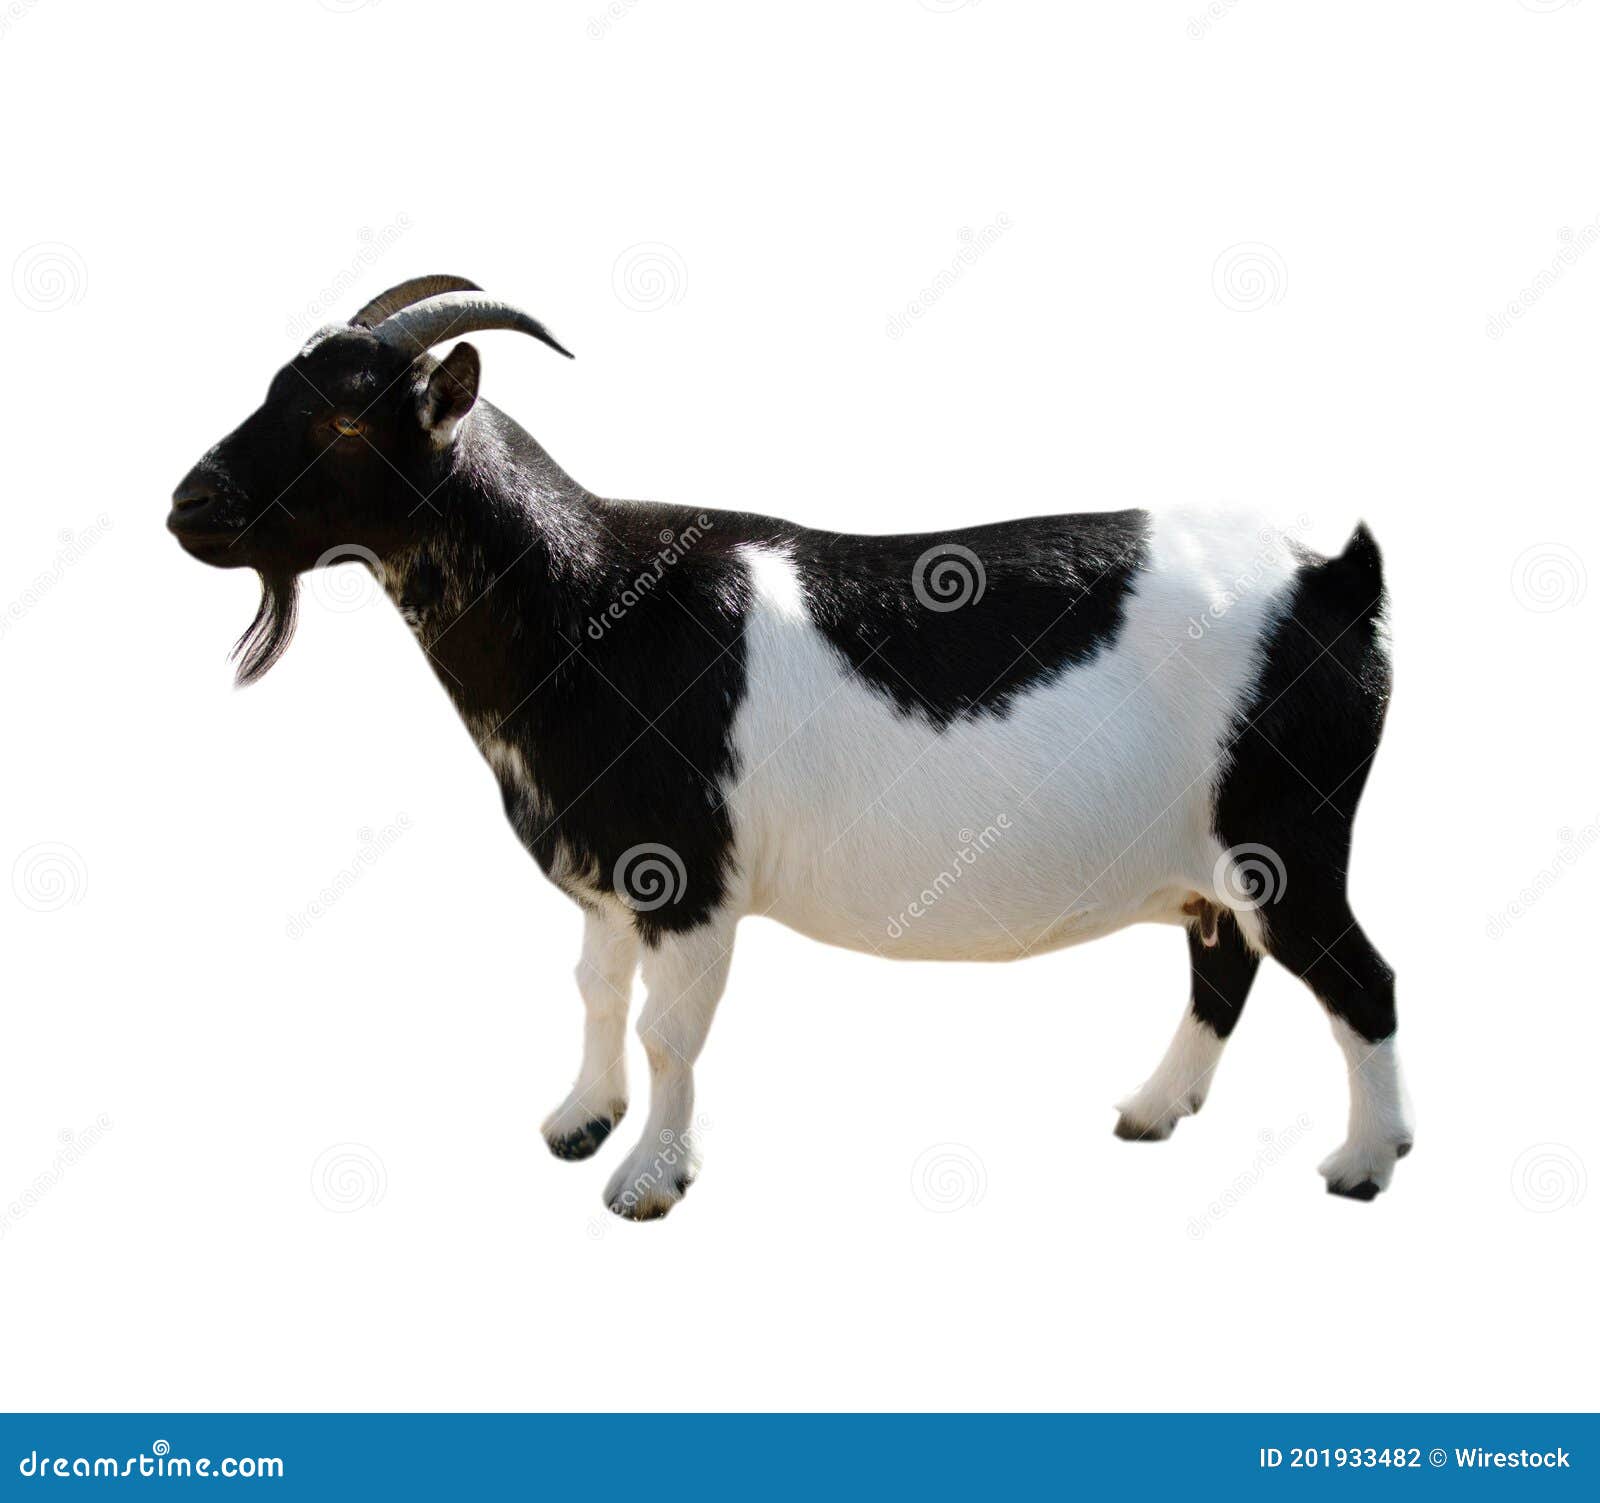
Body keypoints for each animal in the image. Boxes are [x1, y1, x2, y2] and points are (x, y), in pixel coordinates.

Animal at [169, 274, 1411, 1220]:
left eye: (342, 419)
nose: (189, 505)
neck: (588, 607)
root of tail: (1335, 581)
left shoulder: (685, 877)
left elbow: (669, 1032)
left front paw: (646, 1183)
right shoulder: (604, 874)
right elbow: (596, 992)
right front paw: (579, 1122)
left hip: (1286, 832)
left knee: (1357, 977)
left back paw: (1362, 1163)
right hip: (1217, 855)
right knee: (1222, 961)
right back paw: (1153, 1111)